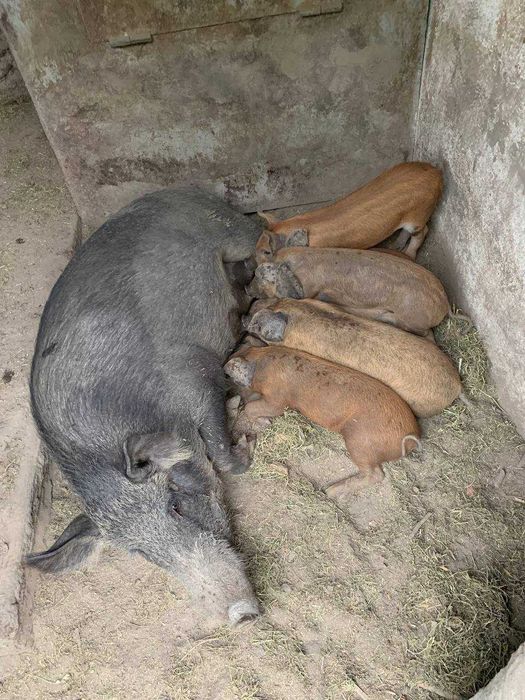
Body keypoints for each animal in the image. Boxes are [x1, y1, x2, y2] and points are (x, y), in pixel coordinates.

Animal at [27, 187, 263, 624]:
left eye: (176, 506)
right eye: (141, 552)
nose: (240, 616)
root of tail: (169, 191)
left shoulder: (197, 374)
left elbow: (221, 453)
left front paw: (247, 441)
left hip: (232, 229)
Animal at [224, 346, 420, 495]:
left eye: (228, 375)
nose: (224, 367)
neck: (261, 363)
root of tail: (411, 437)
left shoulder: (278, 398)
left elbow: (253, 407)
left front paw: (266, 422)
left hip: (360, 441)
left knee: (376, 474)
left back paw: (330, 491)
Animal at [255, 161, 442, 263]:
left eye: (266, 251)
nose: (255, 265)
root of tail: (436, 172)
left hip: (418, 215)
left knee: (423, 231)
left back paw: (407, 254)